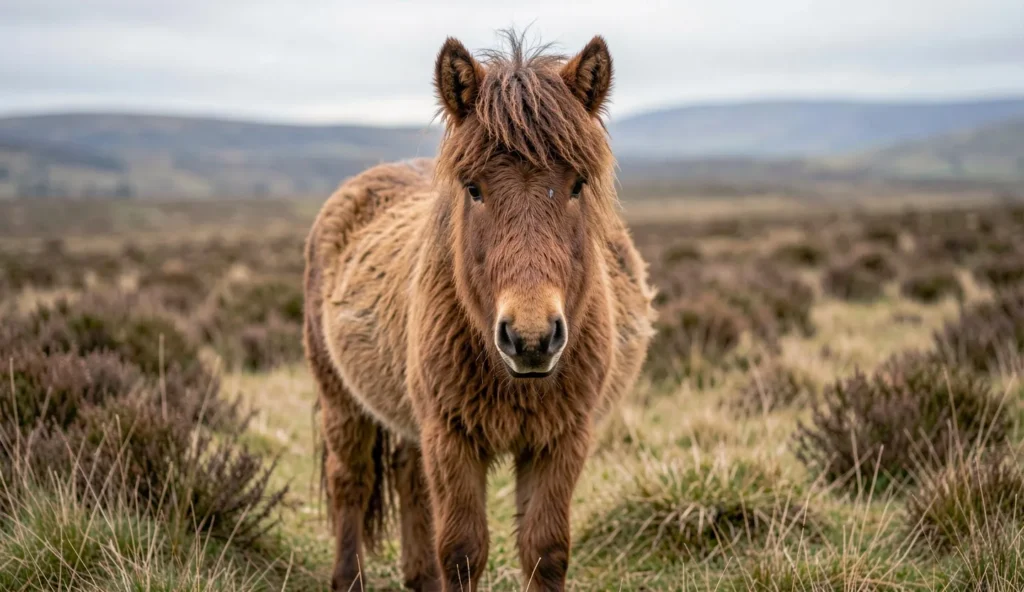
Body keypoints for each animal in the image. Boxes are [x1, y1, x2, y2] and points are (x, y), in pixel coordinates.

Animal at [303, 32, 654, 591]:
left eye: (578, 184)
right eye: (474, 188)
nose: (531, 338)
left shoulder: (562, 439)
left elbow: (545, 551)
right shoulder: (452, 437)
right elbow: (463, 551)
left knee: (408, 478)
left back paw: (419, 578)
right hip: (342, 398)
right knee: (350, 482)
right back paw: (348, 578)